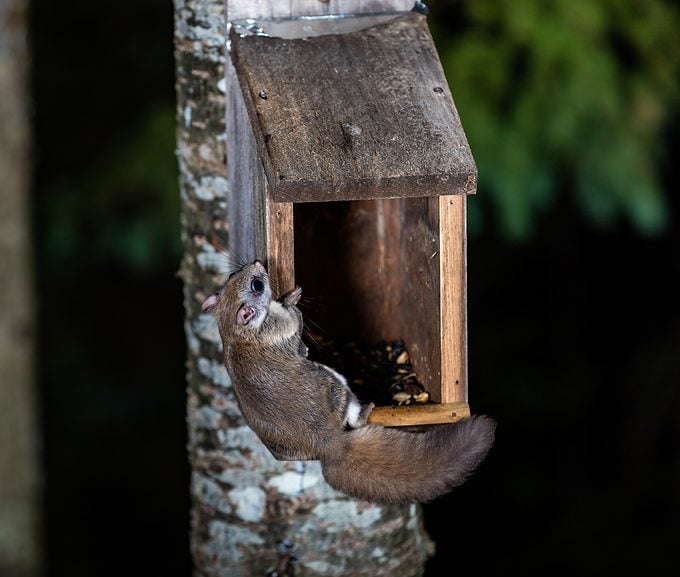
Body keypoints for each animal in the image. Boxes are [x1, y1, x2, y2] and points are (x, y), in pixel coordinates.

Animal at [202, 260, 495, 504]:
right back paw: (366, 409)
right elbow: (295, 321)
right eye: (257, 286)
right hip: (337, 385)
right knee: (355, 418)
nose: (258, 262)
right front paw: (292, 298)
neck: (237, 333)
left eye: (232, 276)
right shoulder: (282, 327)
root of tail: (329, 445)